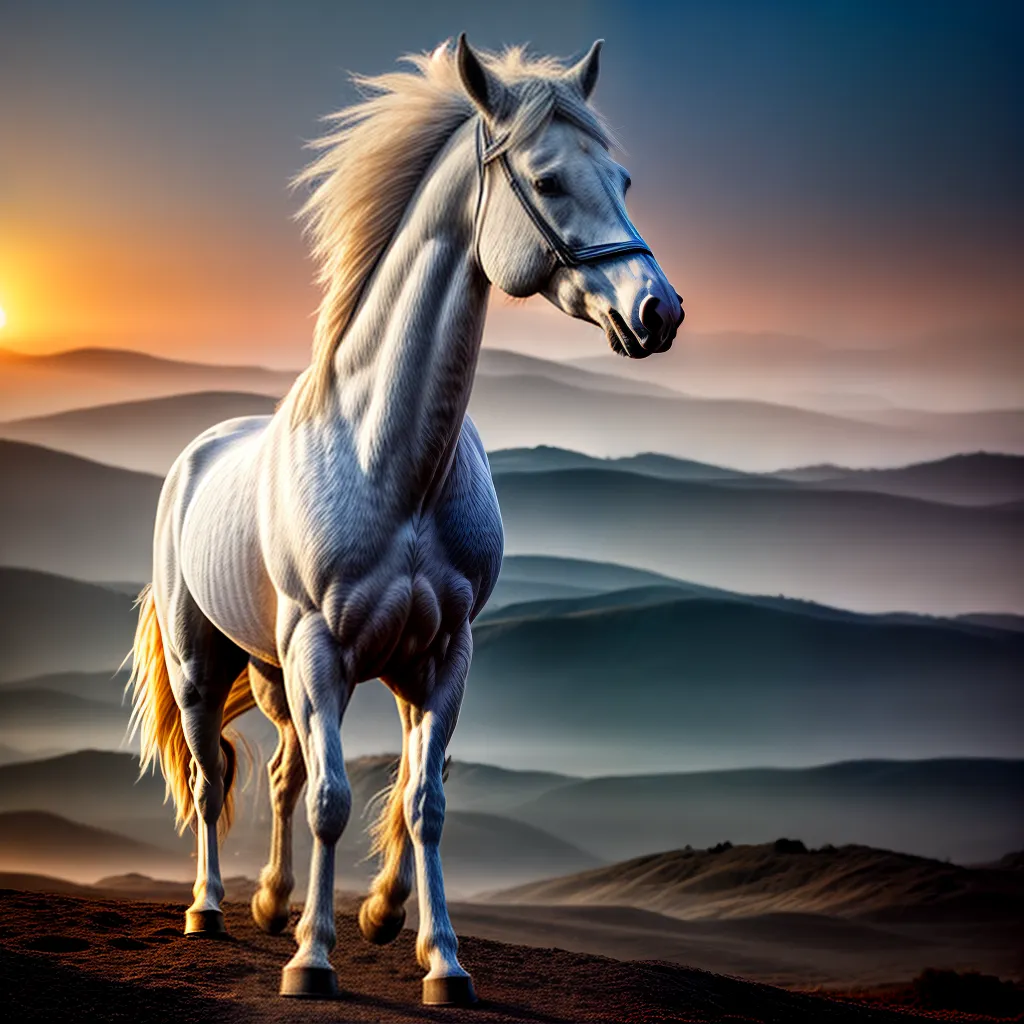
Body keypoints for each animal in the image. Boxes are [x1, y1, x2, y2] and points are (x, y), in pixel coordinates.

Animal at [127, 34, 683, 1007]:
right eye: (547, 180)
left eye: (620, 175)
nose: (659, 311)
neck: (391, 465)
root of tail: (197, 454)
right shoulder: (321, 650)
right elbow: (333, 800)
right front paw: (312, 961)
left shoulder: (441, 654)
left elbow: (424, 800)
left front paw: (438, 958)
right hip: (211, 666)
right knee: (209, 775)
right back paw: (212, 908)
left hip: (289, 673)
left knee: (283, 768)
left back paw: (277, 902)